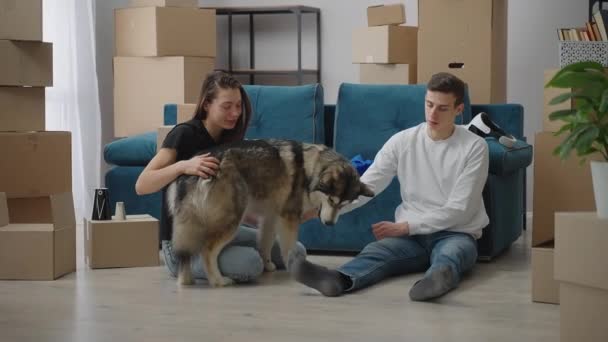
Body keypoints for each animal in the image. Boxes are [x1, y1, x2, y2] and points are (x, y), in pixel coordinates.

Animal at [167, 138, 376, 286]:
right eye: (332, 200)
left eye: (344, 204)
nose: (330, 224)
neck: (310, 171)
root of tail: (193, 168)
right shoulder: (289, 219)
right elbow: (289, 248)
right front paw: (297, 269)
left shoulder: (270, 217)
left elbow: (265, 244)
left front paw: (267, 265)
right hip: (231, 221)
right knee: (207, 251)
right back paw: (218, 281)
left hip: (191, 225)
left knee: (186, 254)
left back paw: (185, 280)